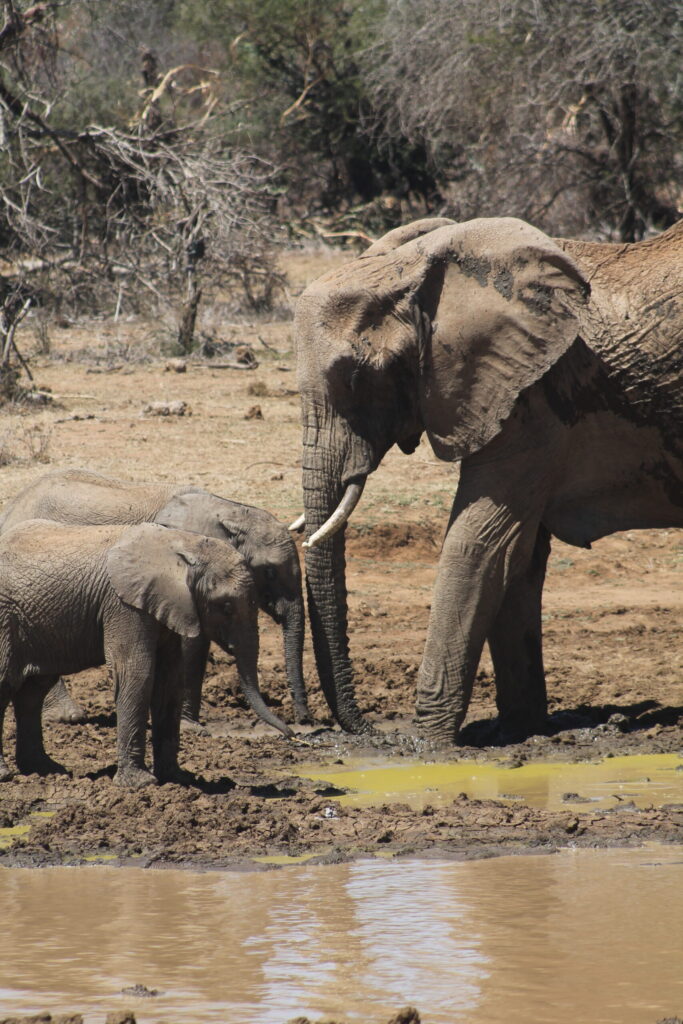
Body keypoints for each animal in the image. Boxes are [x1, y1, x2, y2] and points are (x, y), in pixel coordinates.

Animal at [0, 468, 310, 728]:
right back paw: (69, 716)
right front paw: (190, 726)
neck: (231, 511)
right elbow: (192, 645)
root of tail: (12, 507)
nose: (304, 723)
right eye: (269, 571)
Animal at [0, 519, 293, 787]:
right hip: (6, 618)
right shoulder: (124, 604)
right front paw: (141, 784)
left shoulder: (168, 606)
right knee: (7, 683)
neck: (183, 544)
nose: (291, 734)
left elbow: (169, 679)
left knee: (32, 692)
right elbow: (137, 673)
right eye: (227, 606)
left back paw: (45, 770)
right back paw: (9, 775)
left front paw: (178, 779)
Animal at [294, 215, 683, 743]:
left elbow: (480, 544)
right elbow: (519, 558)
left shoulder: (528, 399)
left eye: (357, 378)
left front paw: (427, 744)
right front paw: (520, 729)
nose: (368, 730)